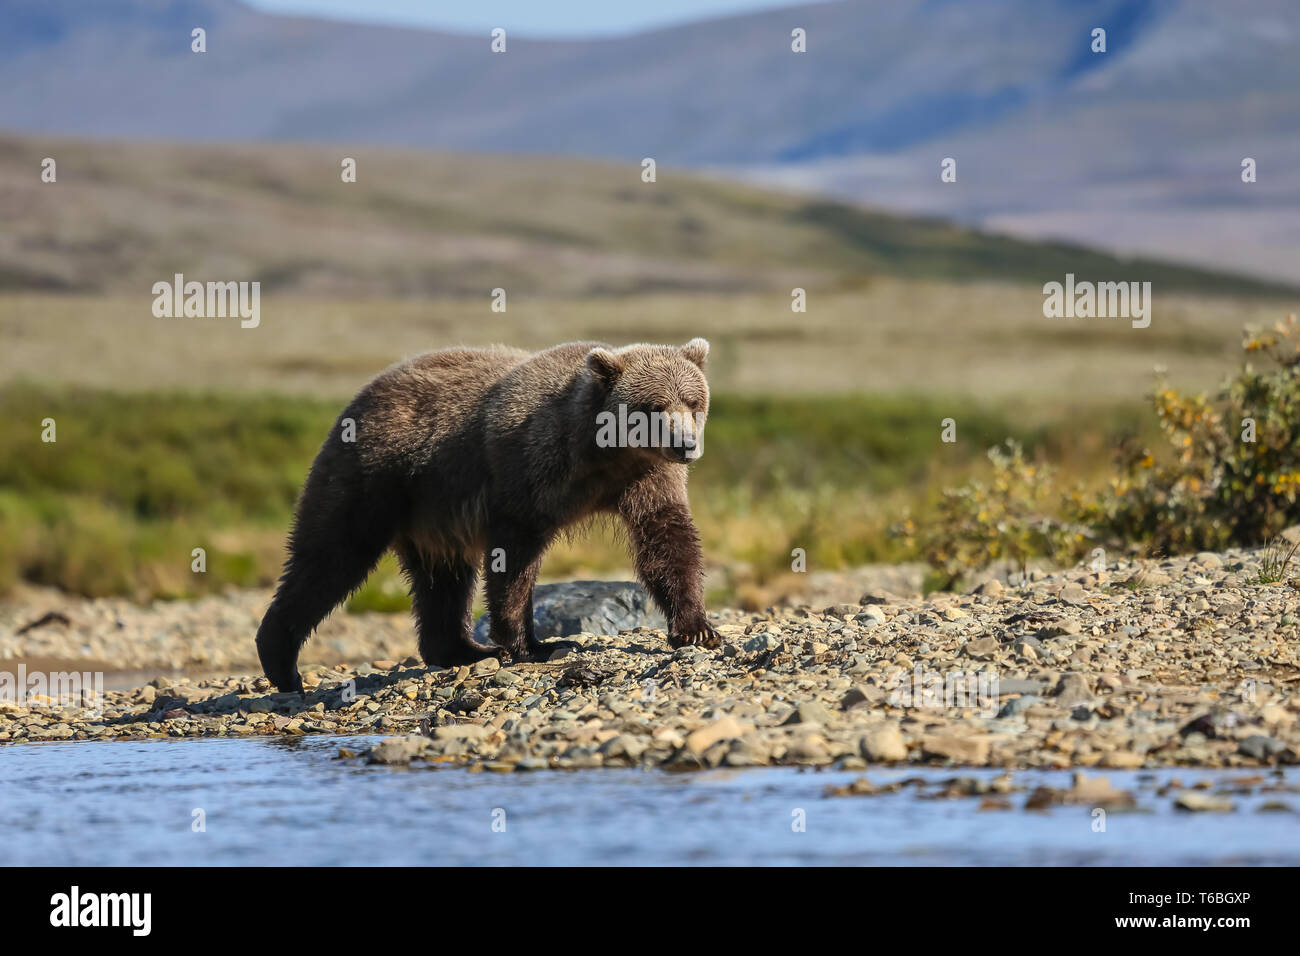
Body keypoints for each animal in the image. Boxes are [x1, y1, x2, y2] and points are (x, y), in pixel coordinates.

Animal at [256, 340, 722, 691]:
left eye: (692, 401)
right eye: (653, 406)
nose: (686, 444)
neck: (603, 454)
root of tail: (367, 390)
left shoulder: (646, 478)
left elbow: (668, 539)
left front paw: (697, 628)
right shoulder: (529, 466)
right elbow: (514, 556)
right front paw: (530, 645)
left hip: (432, 512)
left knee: (442, 578)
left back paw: (461, 649)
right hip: (376, 473)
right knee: (332, 554)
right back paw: (282, 662)